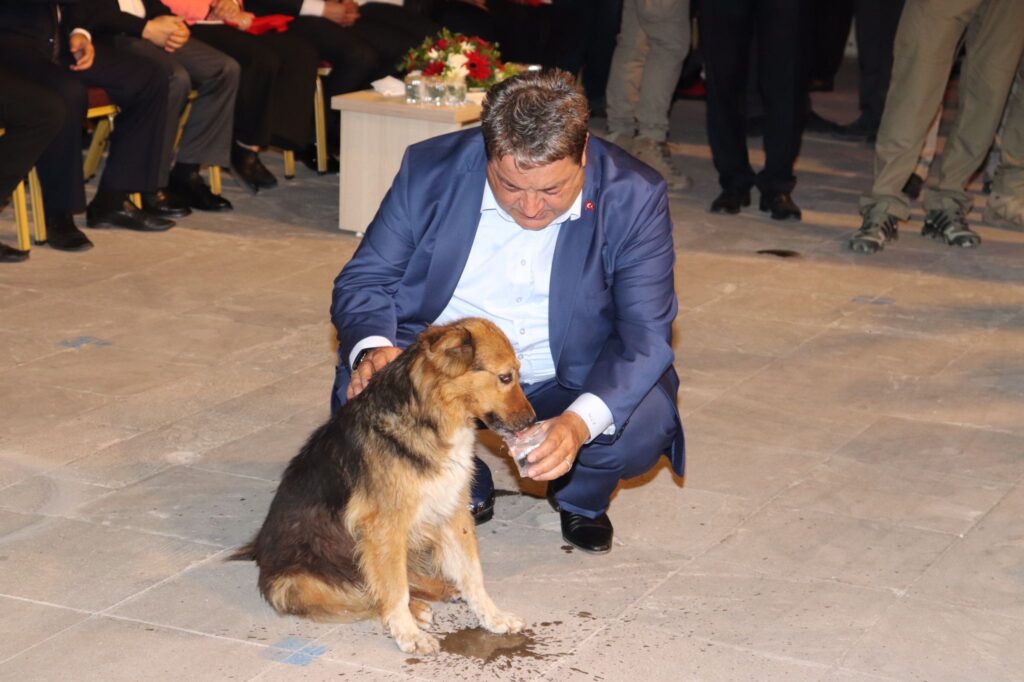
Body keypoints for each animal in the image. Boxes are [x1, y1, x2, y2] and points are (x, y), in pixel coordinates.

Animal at [232, 315, 536, 651]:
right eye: (505, 377)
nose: (532, 422)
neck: (431, 417)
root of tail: (259, 552)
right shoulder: (385, 526)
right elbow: (394, 589)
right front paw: (409, 634)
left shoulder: (452, 511)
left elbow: (472, 574)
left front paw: (493, 617)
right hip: (300, 582)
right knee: (366, 593)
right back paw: (415, 609)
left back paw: (441, 590)